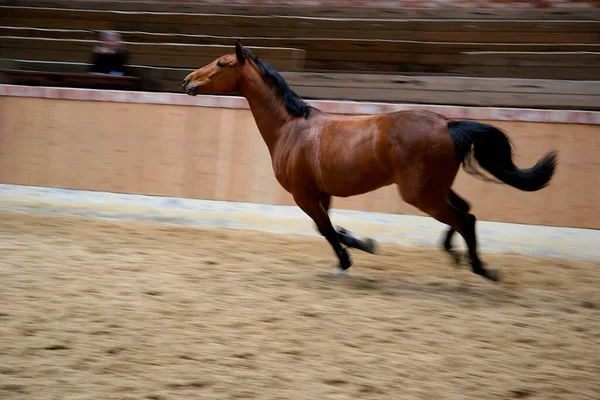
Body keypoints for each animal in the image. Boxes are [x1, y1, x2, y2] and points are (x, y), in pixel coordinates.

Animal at [183, 41, 556, 282]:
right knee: (466, 211)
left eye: (221, 64)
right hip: (435, 188)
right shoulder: (321, 193)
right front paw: (363, 244)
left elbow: (325, 229)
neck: (290, 128)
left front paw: (346, 261)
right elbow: (328, 228)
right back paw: (455, 253)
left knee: (464, 217)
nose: (187, 80)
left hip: (421, 194)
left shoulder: (303, 196)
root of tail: (448, 124)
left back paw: (482, 269)